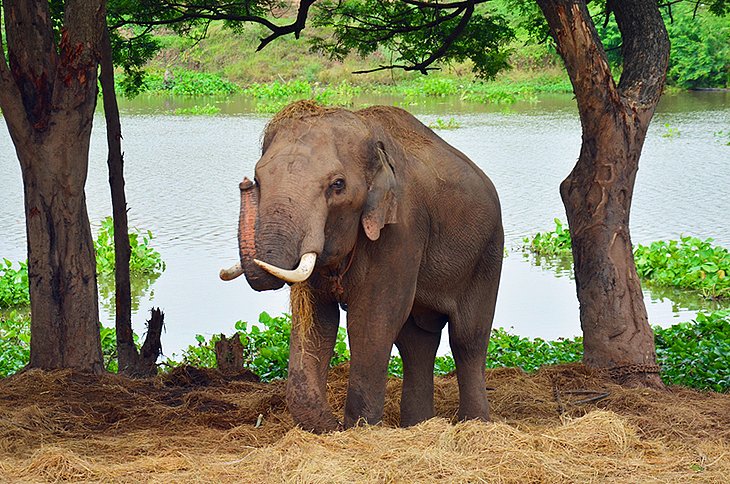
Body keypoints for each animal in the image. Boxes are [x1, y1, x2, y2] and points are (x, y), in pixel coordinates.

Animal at [220, 101, 503, 432]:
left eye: (338, 185)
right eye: (258, 179)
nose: (244, 183)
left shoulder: (403, 227)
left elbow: (372, 319)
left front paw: (359, 428)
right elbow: (319, 319)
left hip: (488, 252)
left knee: (467, 338)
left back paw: (475, 424)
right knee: (416, 341)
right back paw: (417, 425)